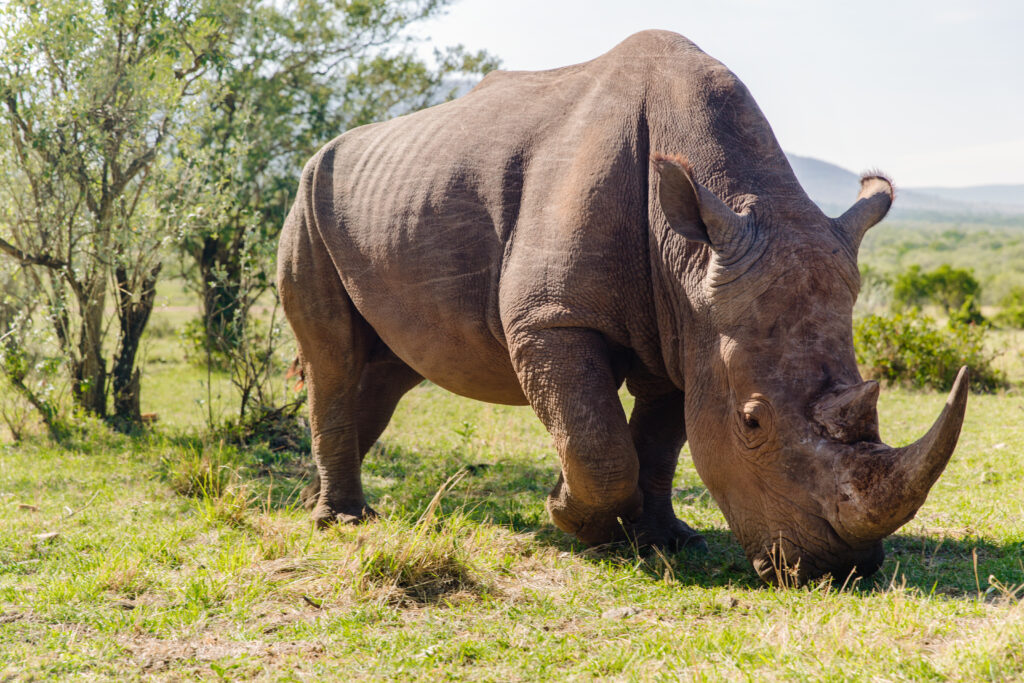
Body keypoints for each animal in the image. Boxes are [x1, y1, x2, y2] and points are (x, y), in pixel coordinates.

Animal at [277, 29, 968, 584]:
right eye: (752, 423)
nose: (838, 569)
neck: (690, 254)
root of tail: (322, 151)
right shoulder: (551, 321)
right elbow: (600, 446)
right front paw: (575, 517)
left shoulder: (689, 326)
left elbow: (662, 442)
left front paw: (663, 538)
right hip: (309, 197)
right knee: (333, 355)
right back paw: (341, 521)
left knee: (390, 368)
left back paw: (315, 500)